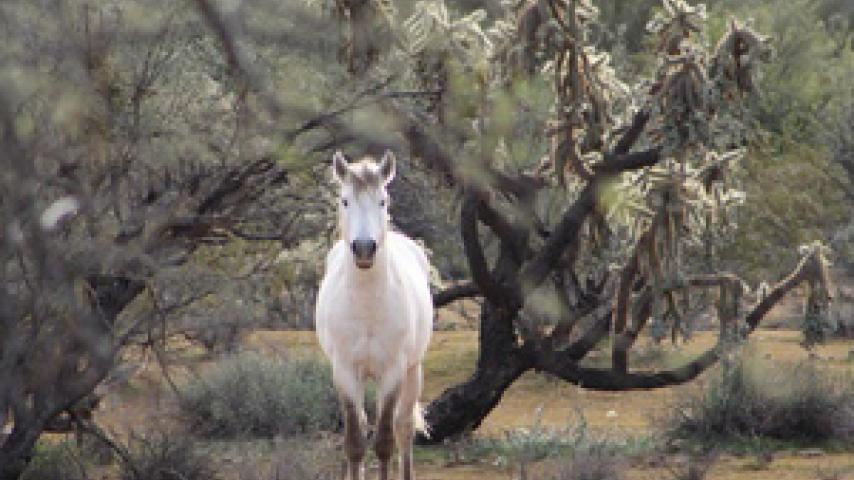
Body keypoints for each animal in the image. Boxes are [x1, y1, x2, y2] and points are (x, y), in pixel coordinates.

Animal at [316, 150, 434, 480]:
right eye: (345, 200)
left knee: (403, 427)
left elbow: (384, 443)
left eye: (383, 200)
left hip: (413, 371)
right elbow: (355, 443)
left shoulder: (393, 372)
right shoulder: (344, 372)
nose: (364, 248)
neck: (367, 307)